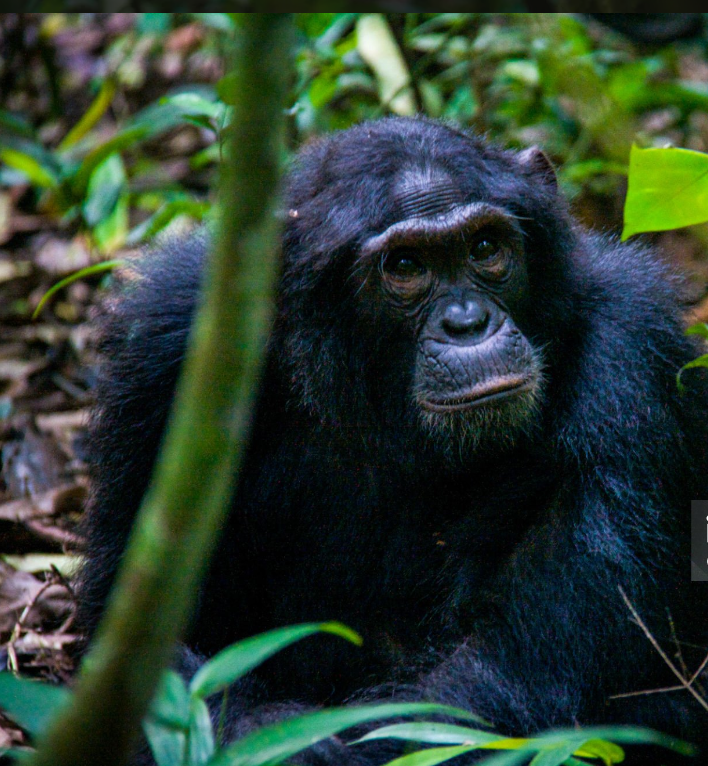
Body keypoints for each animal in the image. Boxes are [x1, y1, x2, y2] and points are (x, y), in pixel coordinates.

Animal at [77, 117, 708, 764]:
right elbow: (148, 645)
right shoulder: (167, 348)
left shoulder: (629, 352)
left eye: (486, 249)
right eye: (405, 266)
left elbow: (505, 675)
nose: (466, 322)